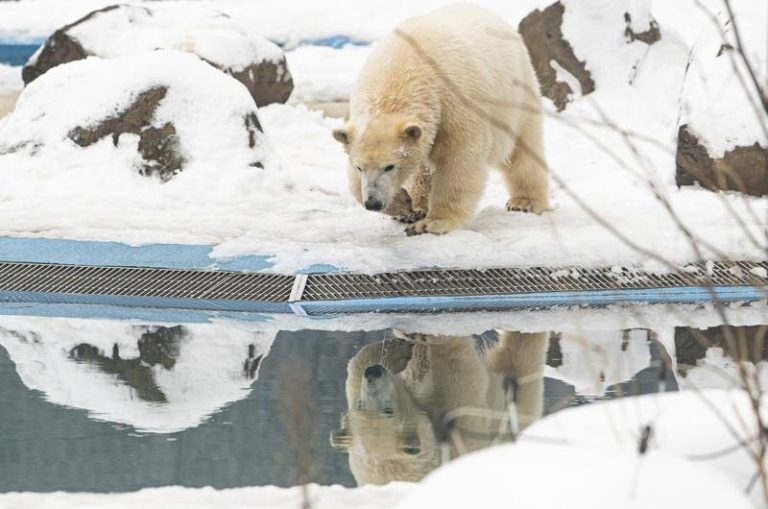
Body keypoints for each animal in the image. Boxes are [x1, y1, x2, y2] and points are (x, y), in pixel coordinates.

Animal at [329, 329, 549, 485]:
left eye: (360, 405)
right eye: (388, 409)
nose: (373, 372)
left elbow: (356, 369)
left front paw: (398, 349)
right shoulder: (457, 436)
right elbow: (460, 370)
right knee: (521, 362)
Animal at [332, 4, 550, 235]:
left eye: (389, 166)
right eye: (360, 167)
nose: (373, 203)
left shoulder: (454, 103)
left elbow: (459, 159)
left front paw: (433, 222)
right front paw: (403, 206)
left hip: (516, 91)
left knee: (523, 147)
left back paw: (525, 202)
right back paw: (417, 207)